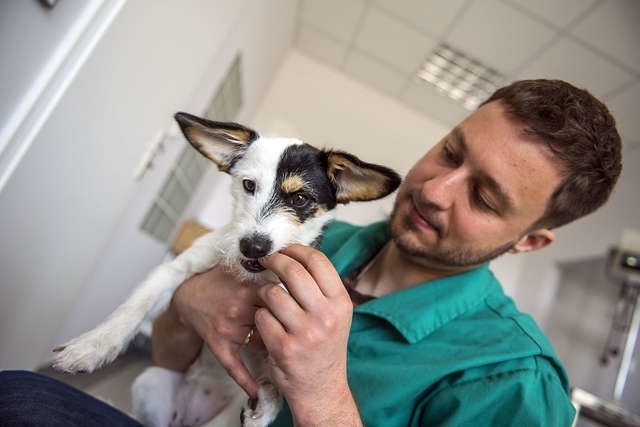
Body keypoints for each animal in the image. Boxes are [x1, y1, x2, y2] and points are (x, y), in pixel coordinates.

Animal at [51, 112, 400, 426]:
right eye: (248, 185)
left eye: (300, 198)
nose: (252, 246)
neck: (252, 275)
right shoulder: (177, 268)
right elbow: (133, 306)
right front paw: (91, 346)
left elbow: (277, 368)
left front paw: (270, 398)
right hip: (151, 382)